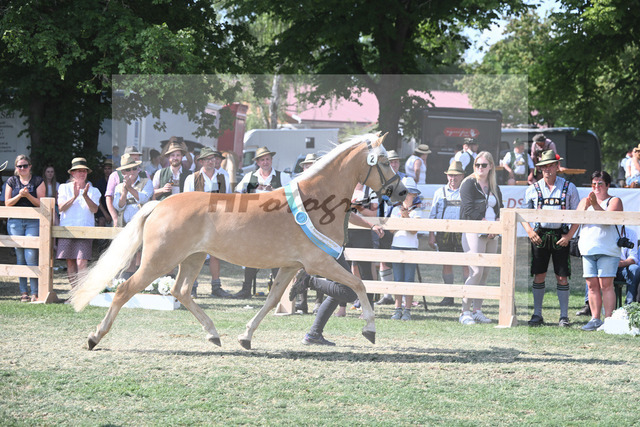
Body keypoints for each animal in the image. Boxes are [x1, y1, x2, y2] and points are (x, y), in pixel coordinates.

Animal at [70, 134, 408, 352]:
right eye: (384, 162)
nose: (402, 191)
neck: (315, 202)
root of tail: (160, 203)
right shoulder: (318, 262)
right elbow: (358, 283)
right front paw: (370, 330)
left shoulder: (290, 266)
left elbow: (272, 300)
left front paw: (246, 337)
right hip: (158, 260)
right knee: (126, 289)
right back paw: (94, 337)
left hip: (192, 258)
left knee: (180, 291)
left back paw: (213, 335)